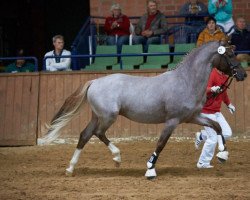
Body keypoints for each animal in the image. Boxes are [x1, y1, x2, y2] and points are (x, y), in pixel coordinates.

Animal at [37, 39, 246, 179]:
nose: (242, 74)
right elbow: (161, 144)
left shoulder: (192, 116)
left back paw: (71, 168)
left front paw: (223, 154)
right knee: (98, 133)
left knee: (85, 135)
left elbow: (216, 126)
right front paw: (150, 169)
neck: (186, 81)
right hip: (108, 117)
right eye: (229, 55)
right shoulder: (172, 121)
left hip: (97, 116)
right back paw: (116, 157)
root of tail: (94, 81)